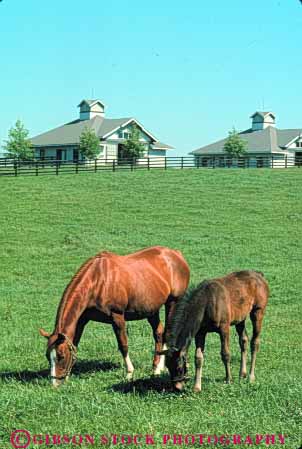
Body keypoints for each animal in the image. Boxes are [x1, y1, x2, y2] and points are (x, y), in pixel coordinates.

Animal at [38, 245, 189, 384]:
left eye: (61, 356)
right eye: (48, 356)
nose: (55, 384)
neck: (97, 281)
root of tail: (176, 254)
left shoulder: (117, 317)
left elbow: (123, 344)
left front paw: (129, 373)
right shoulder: (82, 319)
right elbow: (75, 343)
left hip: (173, 302)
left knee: (167, 332)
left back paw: (158, 367)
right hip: (151, 309)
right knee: (159, 333)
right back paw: (158, 368)